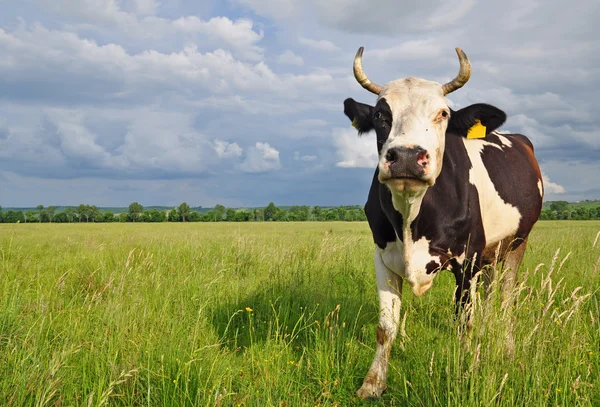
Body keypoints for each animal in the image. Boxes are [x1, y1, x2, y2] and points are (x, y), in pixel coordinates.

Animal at [342, 46, 544, 400]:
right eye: (380, 114)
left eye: (443, 114)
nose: (407, 156)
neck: (412, 218)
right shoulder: (383, 257)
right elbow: (386, 326)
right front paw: (373, 383)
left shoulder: (468, 260)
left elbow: (463, 323)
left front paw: (467, 375)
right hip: (491, 253)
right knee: (490, 297)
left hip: (517, 244)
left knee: (506, 298)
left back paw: (506, 349)